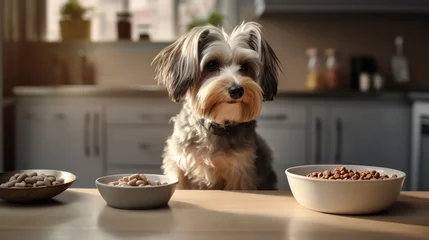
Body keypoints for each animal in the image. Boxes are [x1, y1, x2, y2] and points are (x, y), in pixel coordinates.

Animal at [151, 21, 280, 190]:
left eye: (245, 66)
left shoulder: (241, 171)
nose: (237, 90)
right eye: (211, 64)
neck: (216, 125)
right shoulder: (179, 165)